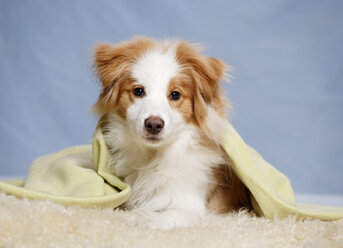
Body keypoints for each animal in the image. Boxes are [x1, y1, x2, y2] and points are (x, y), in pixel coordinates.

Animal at [92, 36, 251, 229]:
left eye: (175, 94)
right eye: (138, 91)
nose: (154, 124)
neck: (153, 157)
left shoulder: (189, 206)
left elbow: (160, 217)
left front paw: (142, 220)